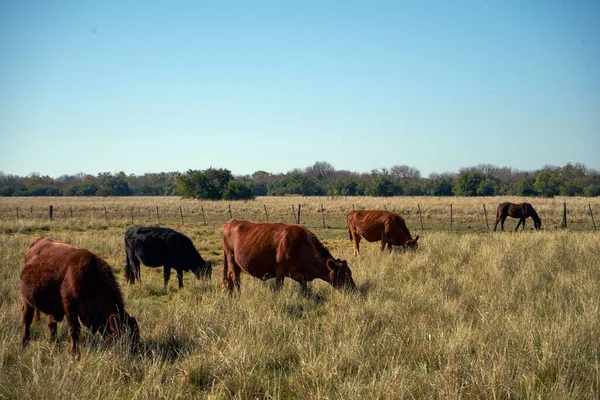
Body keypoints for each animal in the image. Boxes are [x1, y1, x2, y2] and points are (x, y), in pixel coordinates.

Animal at [221, 219, 356, 294]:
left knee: (230, 278)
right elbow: (278, 288)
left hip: (236, 264)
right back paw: (238, 295)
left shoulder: (302, 277)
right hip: (231, 259)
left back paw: (229, 295)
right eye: (343, 276)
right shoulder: (280, 270)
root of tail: (232, 222)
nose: (354, 290)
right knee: (236, 280)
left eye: (350, 273)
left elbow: (304, 290)